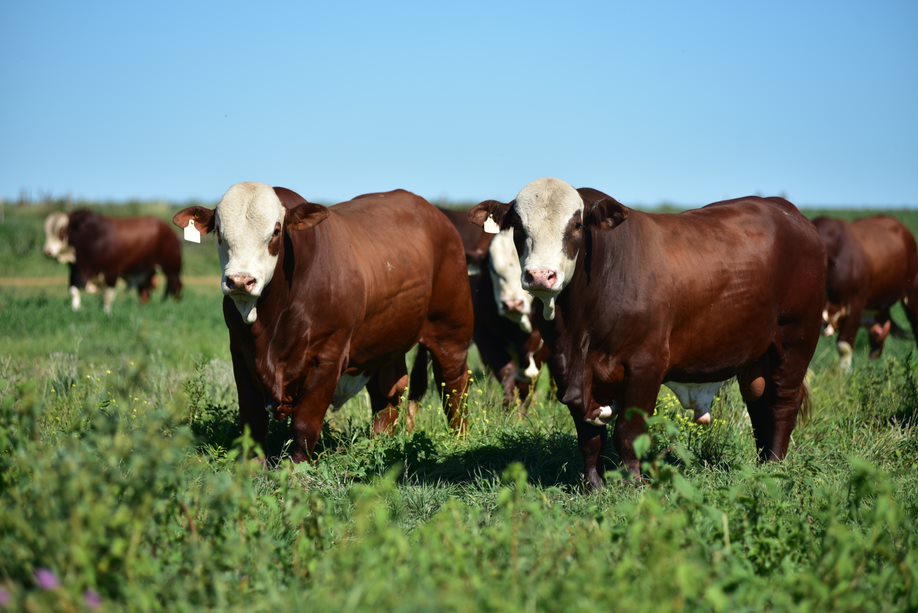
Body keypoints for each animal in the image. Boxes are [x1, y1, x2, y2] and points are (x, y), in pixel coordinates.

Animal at [41, 212, 182, 316]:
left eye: (61, 231)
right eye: (47, 233)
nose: (47, 252)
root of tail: (168, 230)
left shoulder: (111, 272)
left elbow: (107, 296)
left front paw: (106, 313)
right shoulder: (75, 272)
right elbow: (74, 291)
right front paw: (76, 309)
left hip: (172, 269)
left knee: (175, 287)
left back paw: (175, 306)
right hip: (146, 272)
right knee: (145, 293)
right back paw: (142, 308)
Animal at [173, 182, 474, 460]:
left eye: (276, 231)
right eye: (219, 232)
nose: (240, 280)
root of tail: (435, 214)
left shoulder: (328, 357)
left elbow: (305, 424)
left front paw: (295, 470)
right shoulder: (241, 354)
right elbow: (252, 420)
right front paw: (251, 466)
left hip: (452, 330)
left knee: (454, 385)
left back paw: (459, 439)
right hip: (385, 339)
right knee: (388, 392)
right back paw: (379, 444)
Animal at [474, 177, 828, 488]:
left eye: (576, 225)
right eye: (519, 226)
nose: (540, 276)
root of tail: (788, 212)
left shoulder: (645, 366)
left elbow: (628, 433)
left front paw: (635, 484)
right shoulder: (566, 369)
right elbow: (589, 436)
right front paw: (593, 486)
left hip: (795, 341)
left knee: (782, 402)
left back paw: (774, 466)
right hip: (756, 355)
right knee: (759, 402)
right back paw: (761, 463)